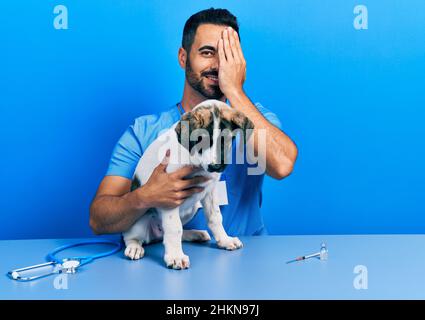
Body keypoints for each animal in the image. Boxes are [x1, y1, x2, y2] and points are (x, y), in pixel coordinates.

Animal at [123, 99, 255, 268]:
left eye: (226, 140)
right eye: (201, 140)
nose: (215, 166)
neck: (195, 160)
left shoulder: (210, 191)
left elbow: (215, 217)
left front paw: (224, 240)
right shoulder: (169, 194)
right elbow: (174, 228)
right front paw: (175, 256)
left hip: (191, 208)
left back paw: (194, 234)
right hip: (139, 219)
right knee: (131, 236)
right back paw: (134, 247)